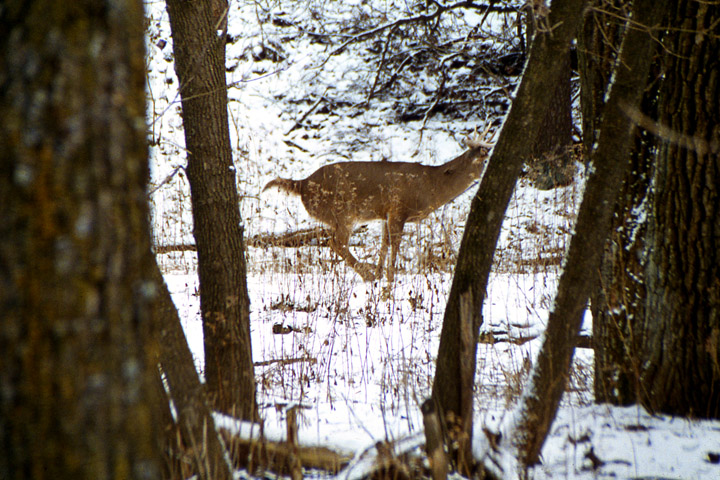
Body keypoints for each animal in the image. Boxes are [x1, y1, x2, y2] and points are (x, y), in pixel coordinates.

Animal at [264, 129, 496, 284]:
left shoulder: (385, 214)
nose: (484, 173)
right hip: (342, 211)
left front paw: (380, 273)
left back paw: (368, 274)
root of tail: (302, 184)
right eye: (481, 160)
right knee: (336, 242)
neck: (432, 187)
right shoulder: (398, 209)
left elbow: (384, 245)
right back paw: (365, 274)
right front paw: (389, 278)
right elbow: (395, 245)